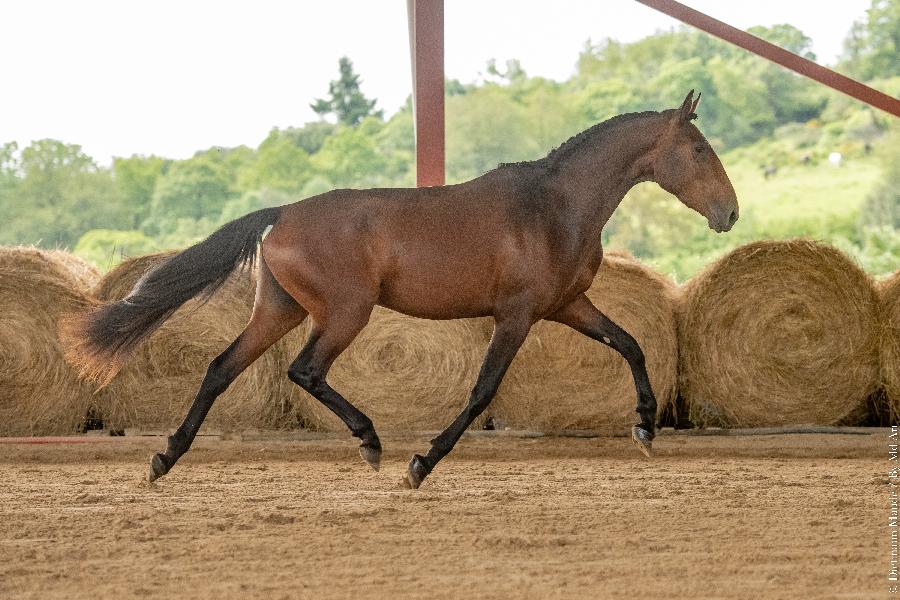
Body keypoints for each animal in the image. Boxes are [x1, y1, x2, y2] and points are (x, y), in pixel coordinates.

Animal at [63, 91, 740, 490]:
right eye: (697, 148)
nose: (729, 213)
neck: (554, 206)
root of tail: (282, 215)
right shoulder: (518, 315)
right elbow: (481, 390)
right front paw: (421, 465)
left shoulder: (569, 306)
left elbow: (631, 344)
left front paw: (645, 428)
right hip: (344, 313)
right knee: (304, 371)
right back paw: (370, 442)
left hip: (280, 311)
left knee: (220, 367)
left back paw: (164, 459)